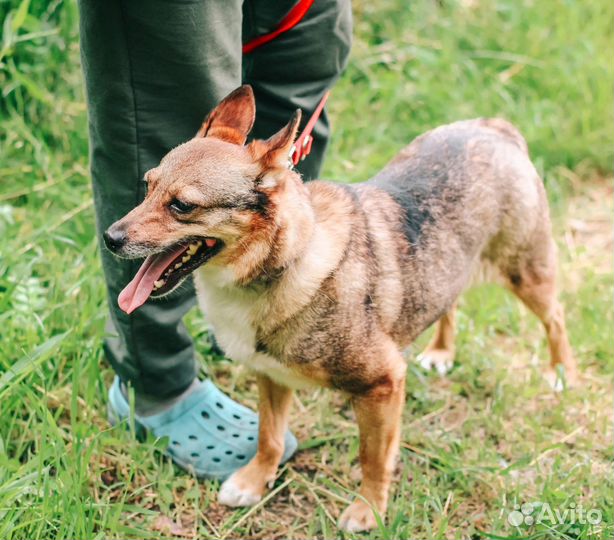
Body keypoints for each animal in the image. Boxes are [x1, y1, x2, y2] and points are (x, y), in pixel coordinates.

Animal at [103, 85, 580, 532]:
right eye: (147, 186)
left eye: (183, 206)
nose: (109, 238)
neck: (286, 261)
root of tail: (492, 127)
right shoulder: (272, 378)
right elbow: (269, 438)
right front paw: (255, 481)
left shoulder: (381, 386)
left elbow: (373, 458)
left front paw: (368, 509)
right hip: (449, 269)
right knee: (451, 303)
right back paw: (442, 351)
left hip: (527, 273)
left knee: (556, 318)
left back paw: (560, 372)